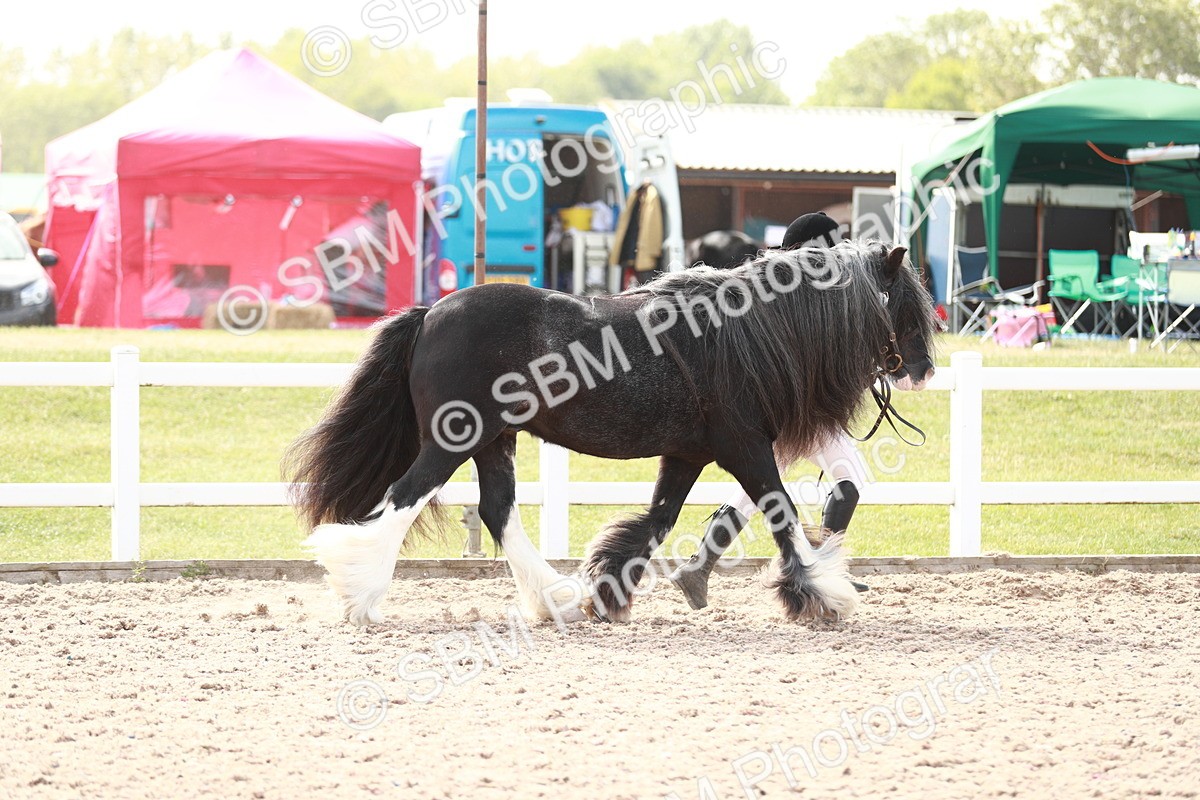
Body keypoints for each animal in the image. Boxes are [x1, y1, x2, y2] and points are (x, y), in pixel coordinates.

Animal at [284, 241, 937, 627]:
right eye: (903, 305)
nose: (925, 370)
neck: (749, 334)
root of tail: (430, 314)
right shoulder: (745, 447)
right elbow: (780, 513)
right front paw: (823, 593)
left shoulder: (688, 454)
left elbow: (656, 522)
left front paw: (612, 590)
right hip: (454, 441)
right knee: (404, 498)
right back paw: (359, 592)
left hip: (493, 442)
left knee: (497, 511)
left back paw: (556, 599)